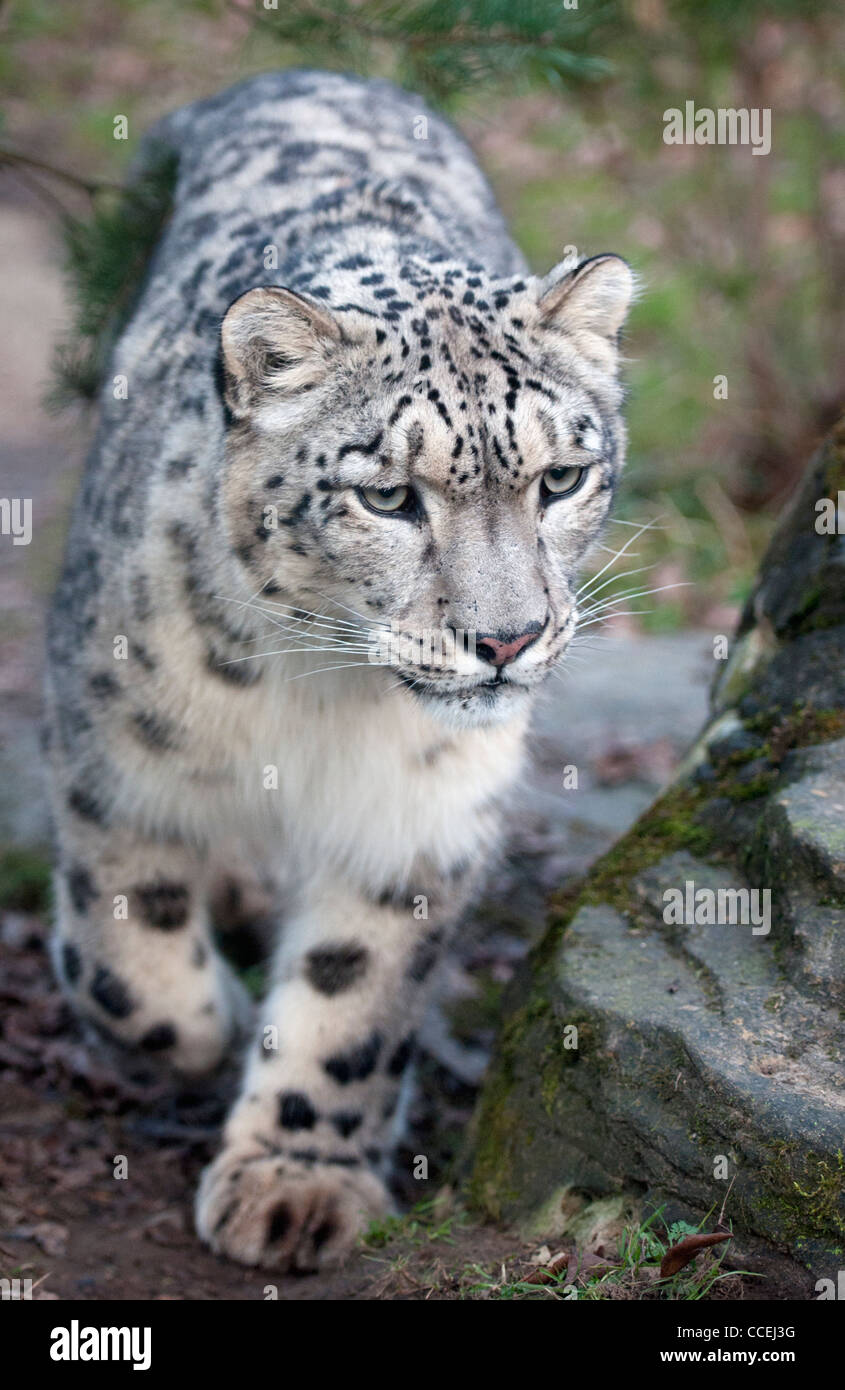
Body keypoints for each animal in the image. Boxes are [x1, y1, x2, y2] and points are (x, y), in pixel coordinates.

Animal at [41, 73, 633, 1273]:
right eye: (389, 496)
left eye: (560, 478)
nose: (506, 639)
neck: (320, 694)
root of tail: (308, 79)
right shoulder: (115, 764)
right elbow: (129, 969)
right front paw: (213, 1021)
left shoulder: (417, 807)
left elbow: (355, 995)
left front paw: (296, 1181)